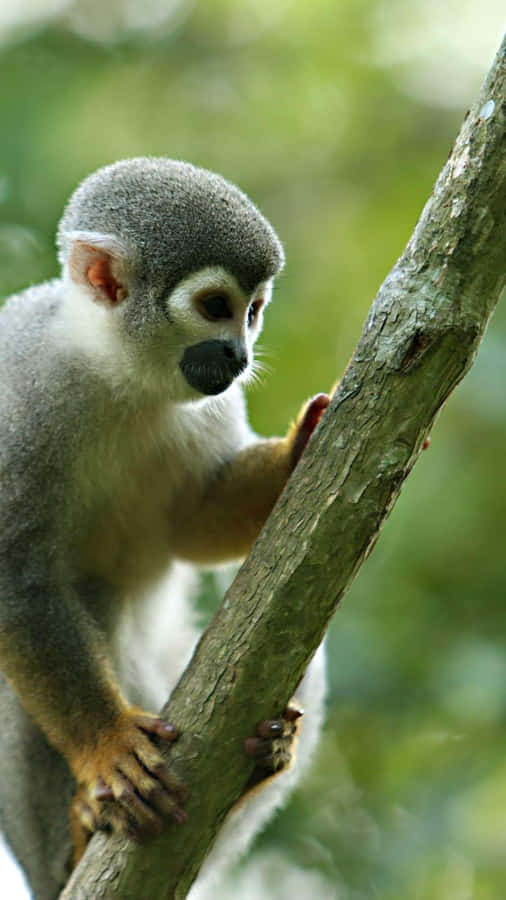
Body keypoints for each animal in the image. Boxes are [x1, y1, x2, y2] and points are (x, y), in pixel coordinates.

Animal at [0, 157, 329, 900]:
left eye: (254, 310)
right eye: (214, 307)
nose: (238, 355)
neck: (114, 372)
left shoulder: (212, 406)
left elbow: (194, 523)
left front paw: (297, 449)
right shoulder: (19, 399)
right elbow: (16, 579)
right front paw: (108, 746)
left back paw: (259, 763)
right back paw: (79, 839)